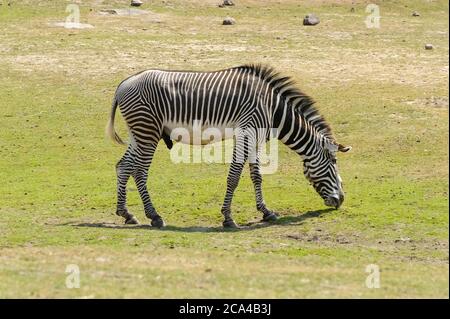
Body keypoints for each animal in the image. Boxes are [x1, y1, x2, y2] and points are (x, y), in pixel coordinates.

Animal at [106, 65, 352, 229]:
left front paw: (266, 212)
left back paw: (126, 213)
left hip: (139, 133)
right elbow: (234, 176)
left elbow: (256, 176)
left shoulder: (255, 137)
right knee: (139, 171)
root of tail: (123, 84)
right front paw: (228, 217)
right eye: (333, 161)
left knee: (123, 166)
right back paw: (154, 216)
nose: (340, 200)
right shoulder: (247, 132)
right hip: (147, 131)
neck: (273, 109)